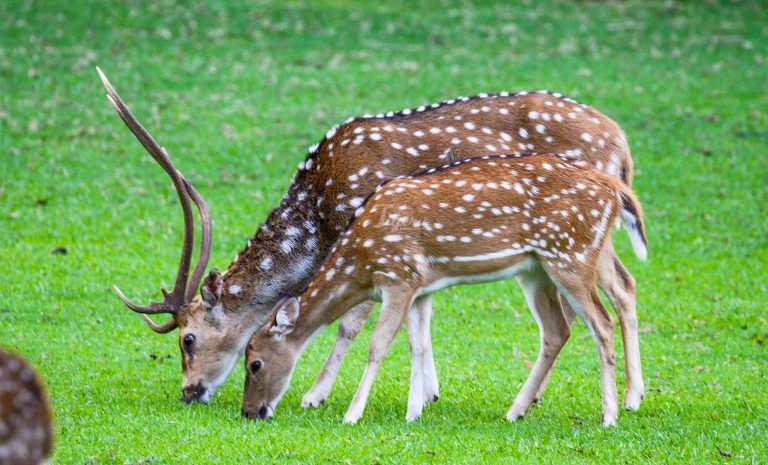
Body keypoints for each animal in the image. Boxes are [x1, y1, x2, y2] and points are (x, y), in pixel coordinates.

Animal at [242, 153, 647, 426]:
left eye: (254, 363)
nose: (249, 412)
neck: (362, 261)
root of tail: (616, 190)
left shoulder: (400, 275)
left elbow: (378, 345)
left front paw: (352, 414)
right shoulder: (421, 286)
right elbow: (417, 344)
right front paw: (414, 412)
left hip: (570, 255)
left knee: (602, 322)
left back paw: (610, 414)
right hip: (537, 269)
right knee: (558, 328)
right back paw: (515, 410)